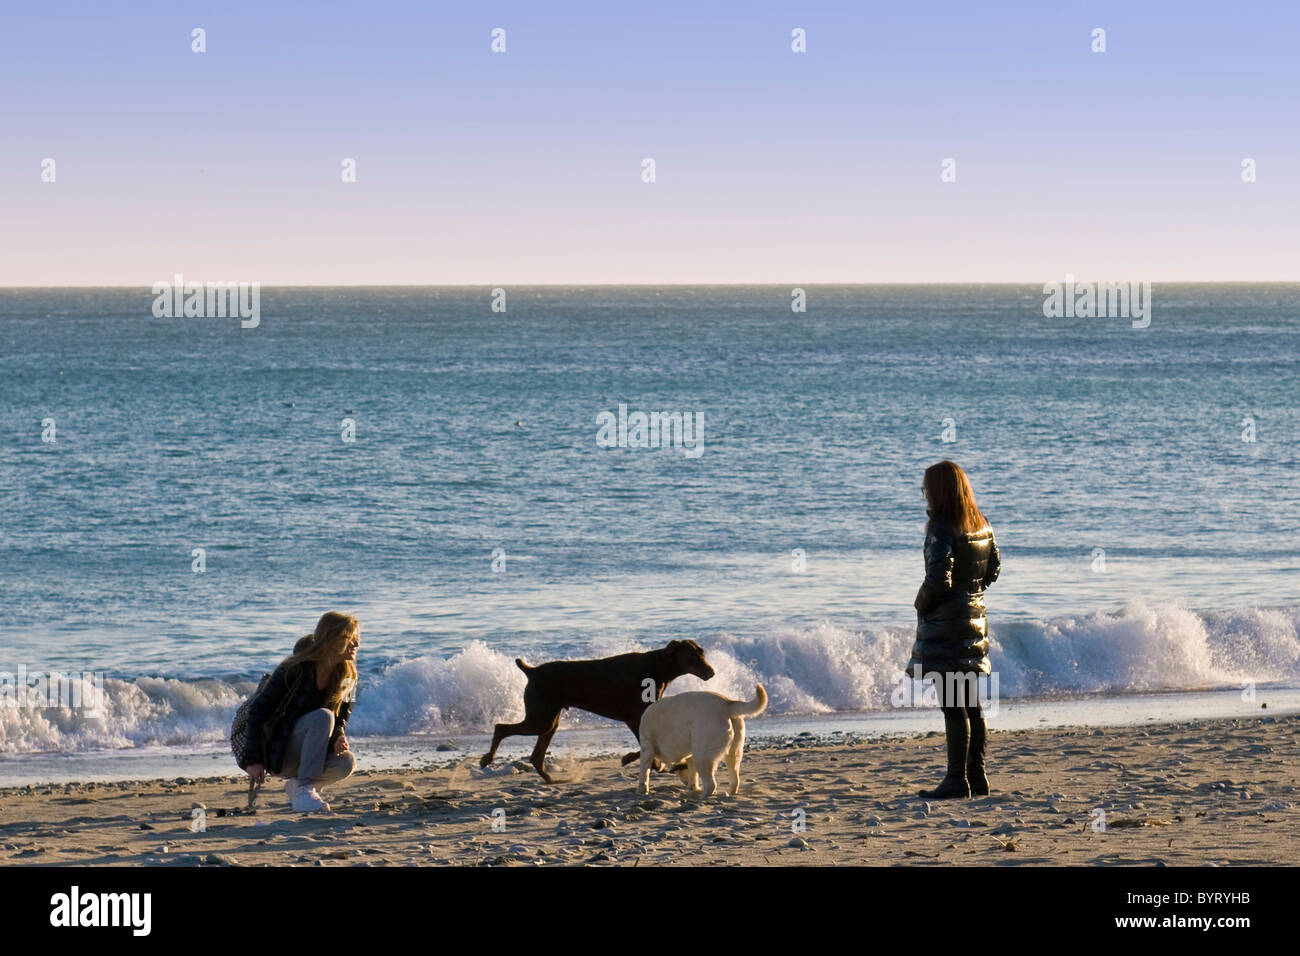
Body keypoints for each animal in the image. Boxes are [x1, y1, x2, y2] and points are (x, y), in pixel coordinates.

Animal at [480, 639, 717, 780]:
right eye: (693, 656)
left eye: (702, 653)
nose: (712, 672)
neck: (659, 667)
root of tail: (532, 671)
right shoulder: (635, 717)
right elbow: (645, 748)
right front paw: (641, 761)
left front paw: (655, 764)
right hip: (541, 717)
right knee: (501, 727)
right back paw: (487, 758)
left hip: (549, 719)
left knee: (536, 756)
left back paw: (549, 779)